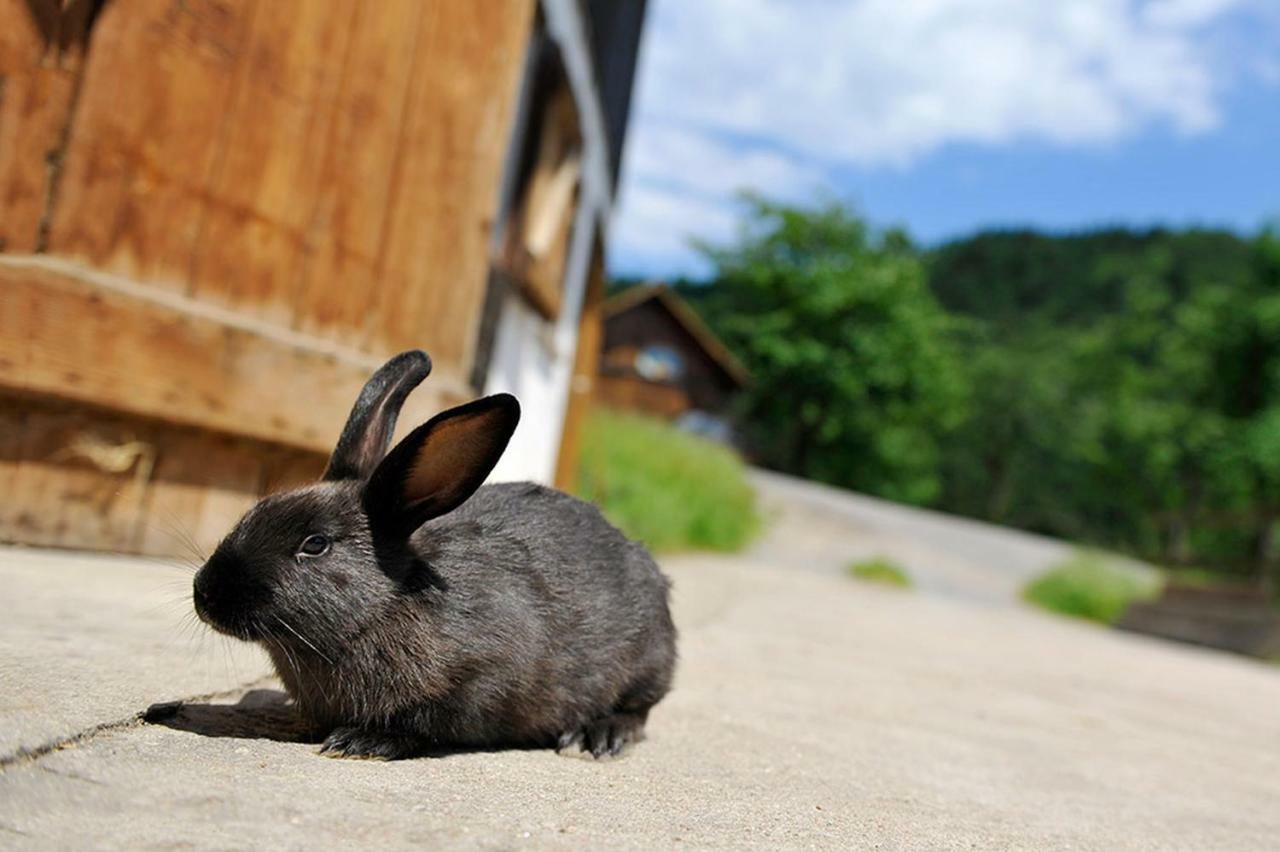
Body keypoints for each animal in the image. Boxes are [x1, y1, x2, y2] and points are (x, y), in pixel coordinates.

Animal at [192, 347, 680, 757]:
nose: (206, 593)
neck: (384, 606)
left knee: (640, 709)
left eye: (315, 544)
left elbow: (426, 722)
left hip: (648, 665)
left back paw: (596, 737)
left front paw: (360, 741)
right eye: (255, 510)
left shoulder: (481, 682)